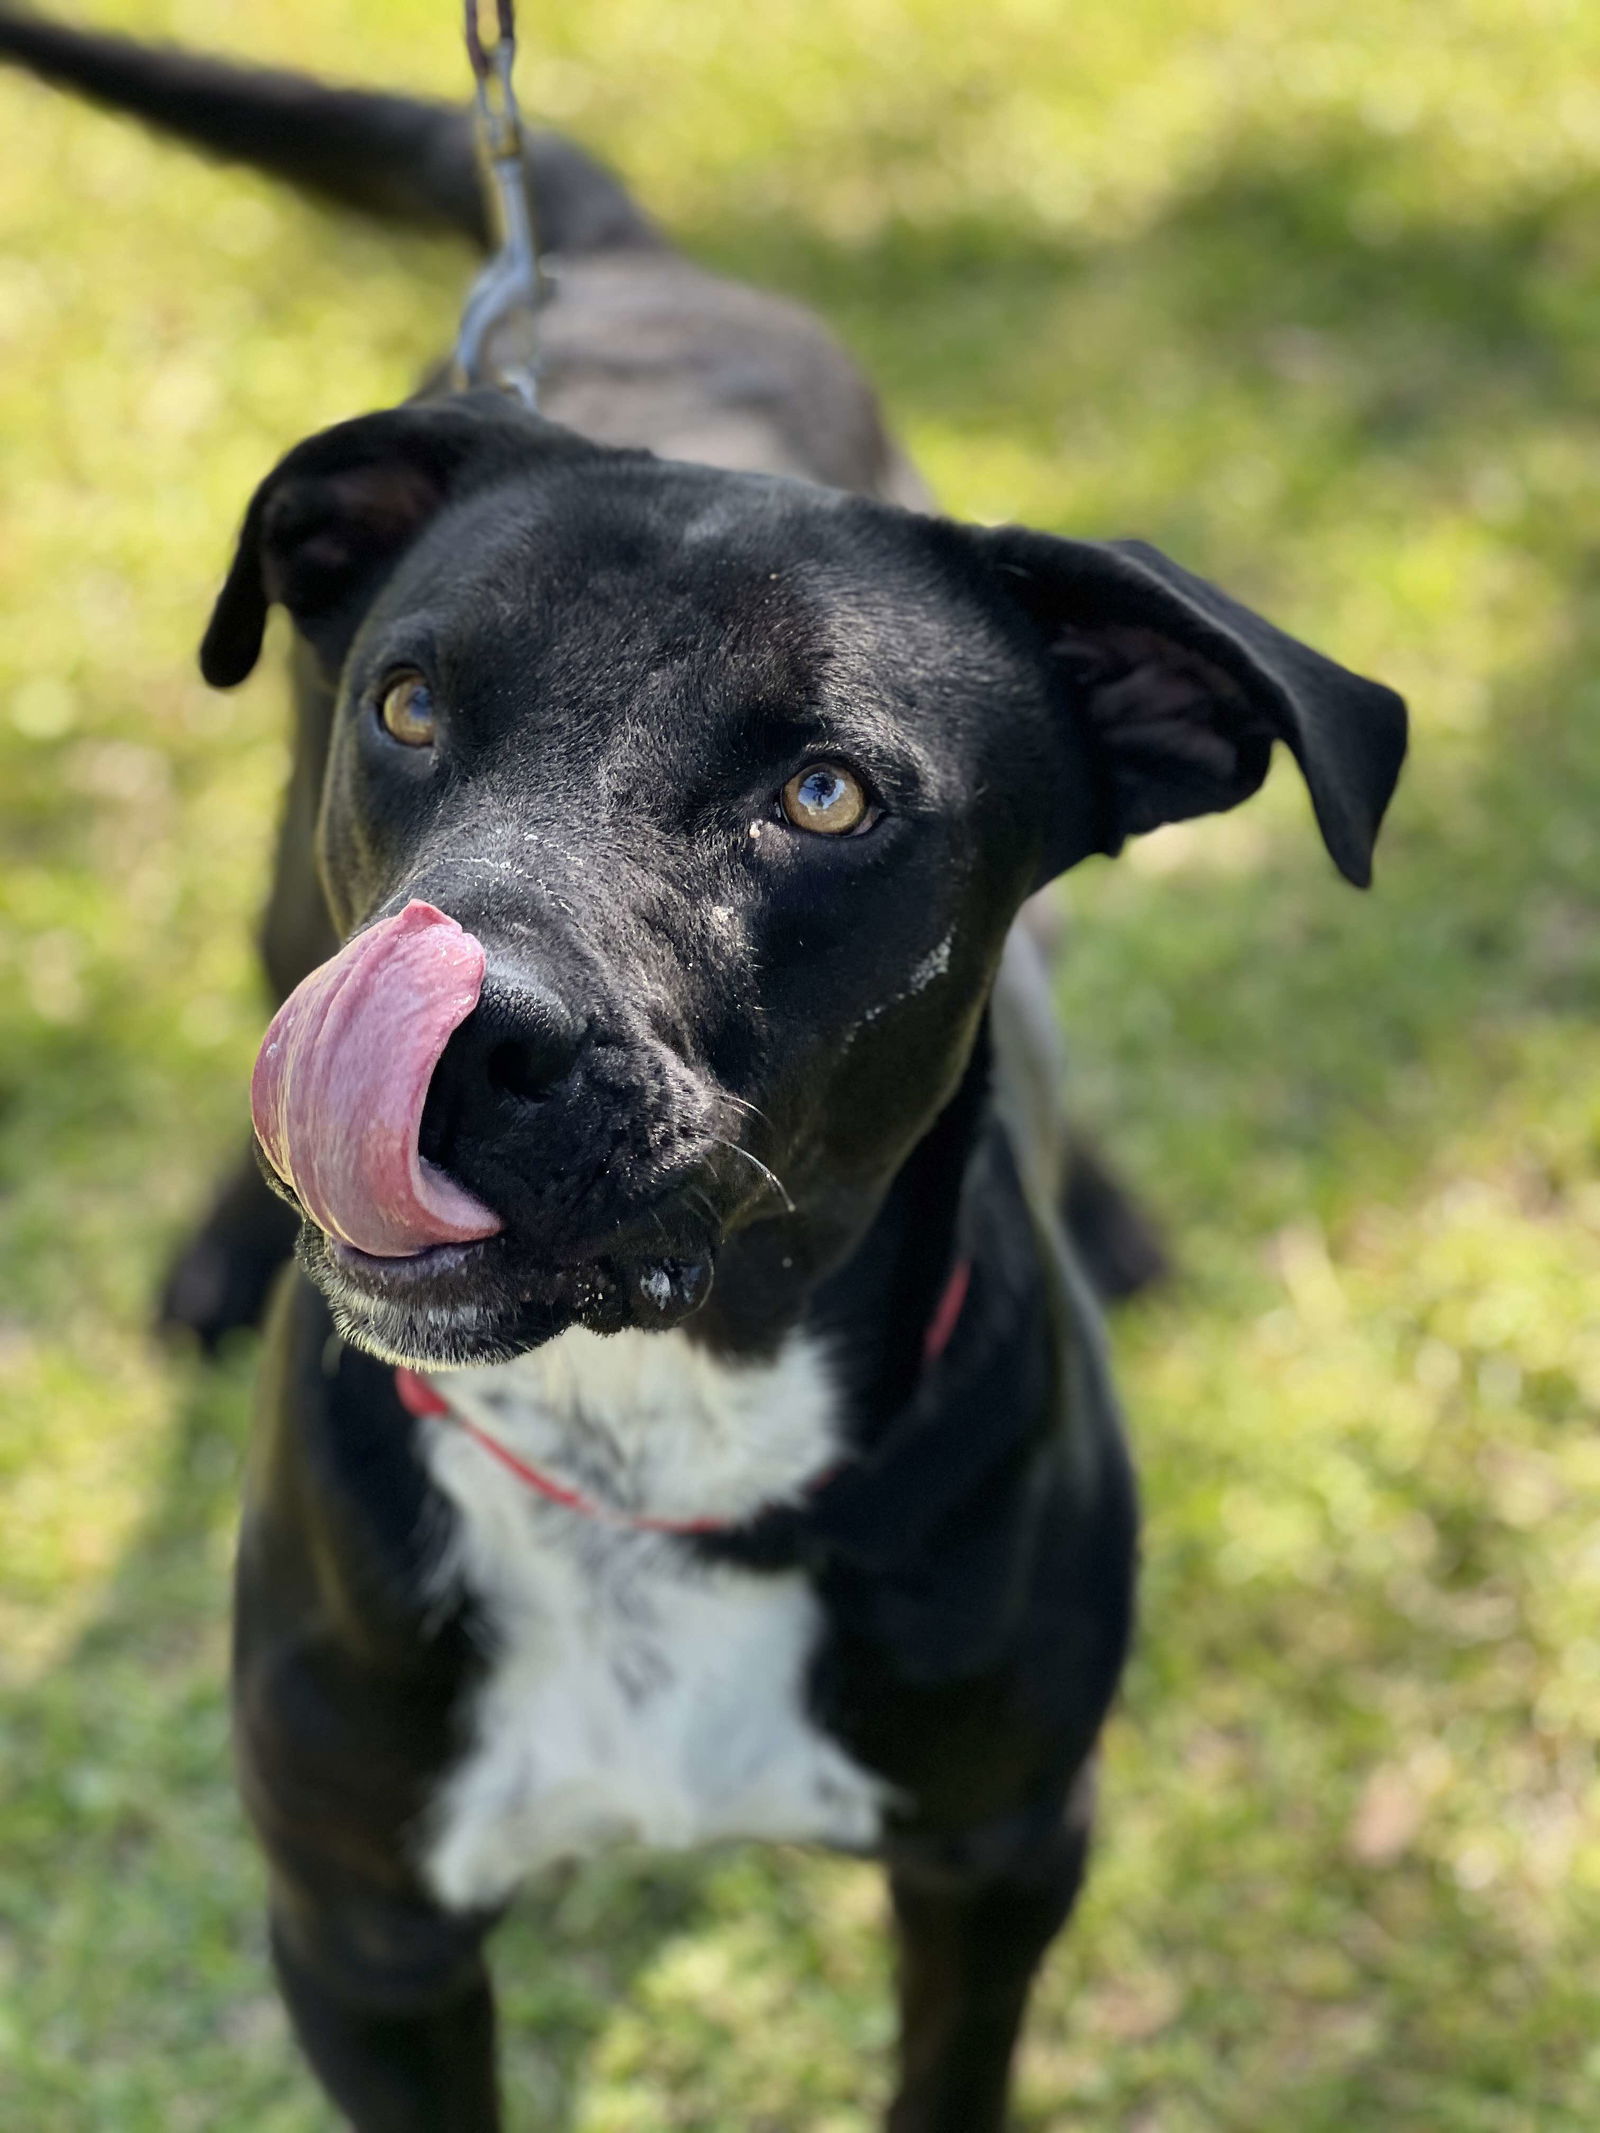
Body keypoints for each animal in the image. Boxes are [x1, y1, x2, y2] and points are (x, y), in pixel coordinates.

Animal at [0, 20, 1399, 2133]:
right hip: (273, 887)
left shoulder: (1002, 1859)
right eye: (414, 701)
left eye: (825, 794)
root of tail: (619, 262)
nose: (461, 1031)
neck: (653, 1446)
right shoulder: (362, 1936)